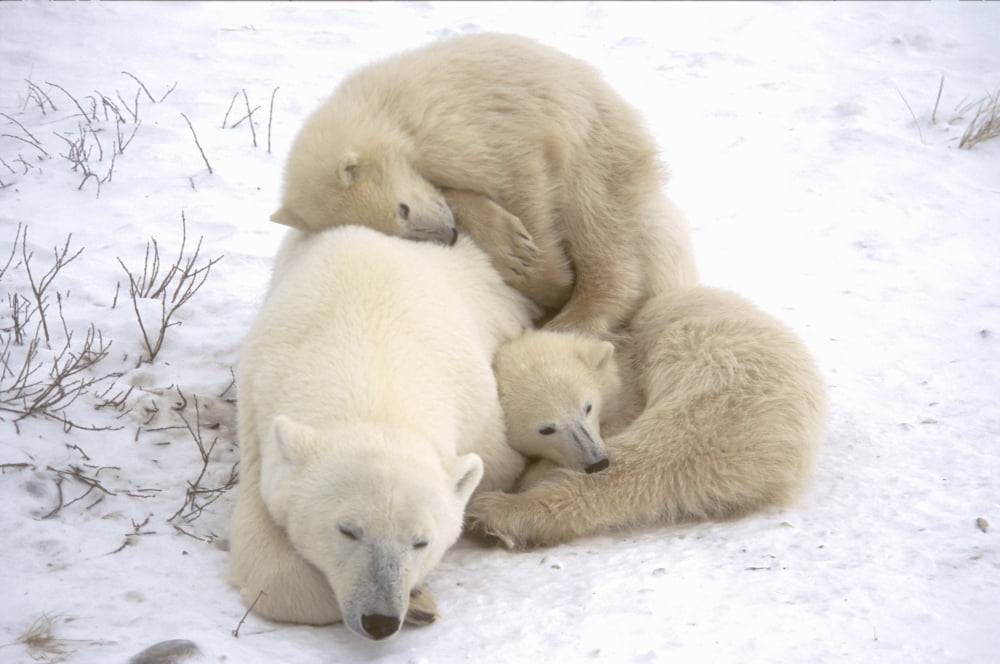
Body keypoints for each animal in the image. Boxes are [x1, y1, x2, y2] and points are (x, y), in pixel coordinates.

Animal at [227, 225, 535, 640]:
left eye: (420, 541)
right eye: (348, 530)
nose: (380, 620)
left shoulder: (480, 415)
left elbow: (495, 469)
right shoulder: (258, 412)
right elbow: (267, 560)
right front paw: (421, 604)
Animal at [270, 32, 698, 336]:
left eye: (401, 210)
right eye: (393, 230)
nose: (446, 236)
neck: (382, 108)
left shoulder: (459, 121)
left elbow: (522, 181)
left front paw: (547, 279)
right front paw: (510, 247)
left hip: (597, 144)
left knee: (595, 218)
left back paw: (575, 317)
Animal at [467, 286, 828, 549]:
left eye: (587, 408)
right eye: (545, 429)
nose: (596, 460)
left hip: (711, 382)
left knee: (650, 459)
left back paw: (493, 512)